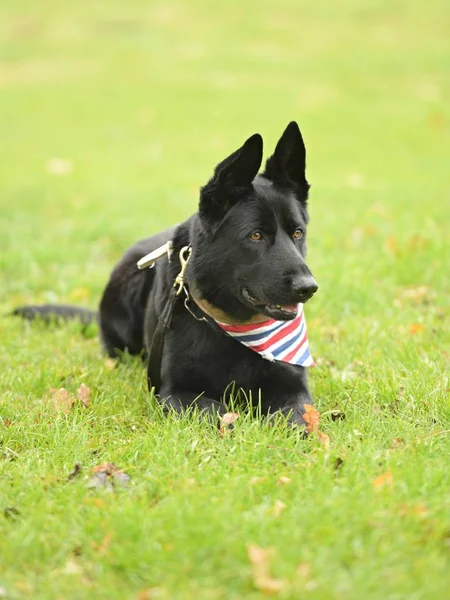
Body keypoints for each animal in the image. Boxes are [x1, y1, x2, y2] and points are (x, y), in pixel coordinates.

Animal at [14, 119, 316, 424]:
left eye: (298, 233)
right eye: (255, 236)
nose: (308, 288)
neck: (231, 325)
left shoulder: (294, 389)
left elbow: (297, 418)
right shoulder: (176, 392)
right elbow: (217, 414)